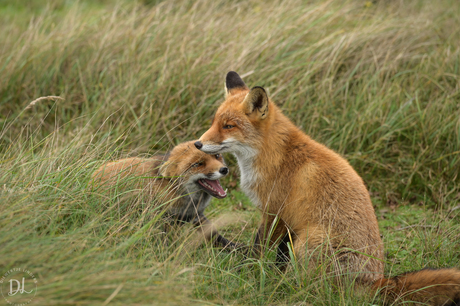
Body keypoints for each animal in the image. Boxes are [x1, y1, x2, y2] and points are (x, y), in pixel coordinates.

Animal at [92, 140, 237, 249]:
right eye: (198, 164)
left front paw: (238, 250)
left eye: (217, 156)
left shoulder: (196, 216)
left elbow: (217, 237)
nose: (224, 170)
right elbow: (165, 244)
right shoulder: (161, 220)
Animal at [194, 71, 460, 304]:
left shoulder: (275, 212)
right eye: (215, 122)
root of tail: (375, 282)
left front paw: (248, 272)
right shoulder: (290, 222)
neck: (275, 155)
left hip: (311, 239)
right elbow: (278, 255)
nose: (198, 144)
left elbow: (259, 248)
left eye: (228, 126)